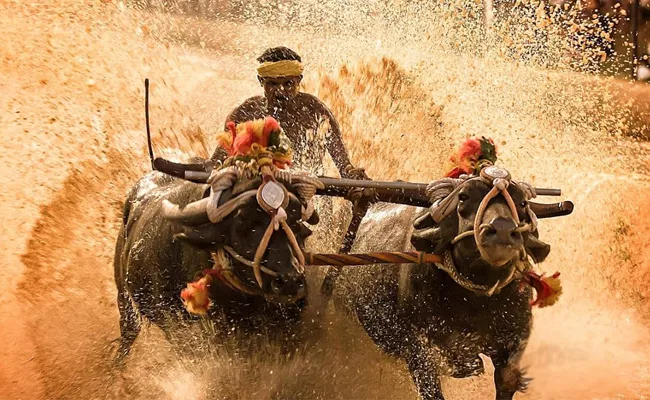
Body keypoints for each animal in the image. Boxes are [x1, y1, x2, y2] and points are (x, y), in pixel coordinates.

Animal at [334, 167, 552, 400]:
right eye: (463, 196)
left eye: (522, 203)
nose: (502, 230)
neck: (475, 300)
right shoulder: (419, 347)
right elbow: (432, 388)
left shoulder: (516, 335)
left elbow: (508, 379)